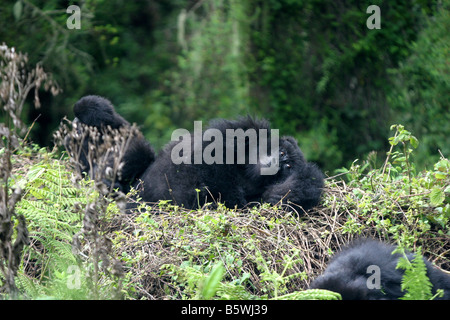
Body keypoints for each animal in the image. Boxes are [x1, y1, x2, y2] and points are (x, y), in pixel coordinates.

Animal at [67, 94, 324, 211]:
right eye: (282, 153)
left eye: (288, 167)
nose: (276, 165)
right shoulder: (244, 128)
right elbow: (207, 154)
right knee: (135, 149)